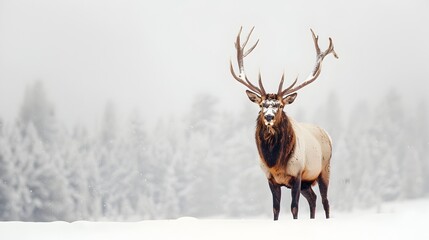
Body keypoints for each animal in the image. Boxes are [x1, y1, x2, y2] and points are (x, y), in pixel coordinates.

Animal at [229, 27, 336, 220]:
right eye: (262, 105)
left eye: (279, 105)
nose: (269, 117)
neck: (275, 162)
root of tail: (327, 134)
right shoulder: (271, 179)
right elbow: (275, 209)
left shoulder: (297, 174)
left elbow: (294, 208)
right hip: (307, 183)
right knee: (313, 198)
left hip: (324, 169)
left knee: (325, 201)